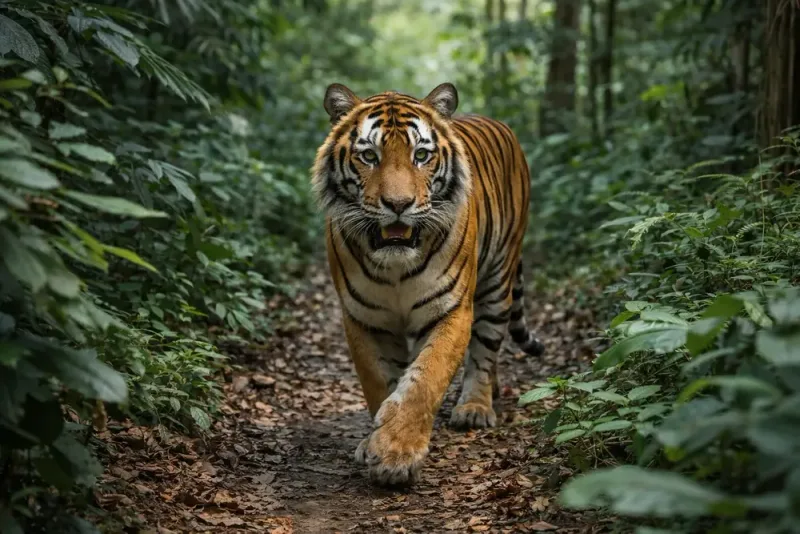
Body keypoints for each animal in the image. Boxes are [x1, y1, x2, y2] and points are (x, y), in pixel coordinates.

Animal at [312, 82, 545, 486]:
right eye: (369, 156)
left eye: (421, 155)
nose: (398, 204)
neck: (395, 266)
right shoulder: (364, 318)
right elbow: (380, 381)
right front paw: (374, 442)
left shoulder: (451, 309)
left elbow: (425, 380)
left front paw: (395, 454)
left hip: (498, 279)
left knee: (486, 348)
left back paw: (475, 406)